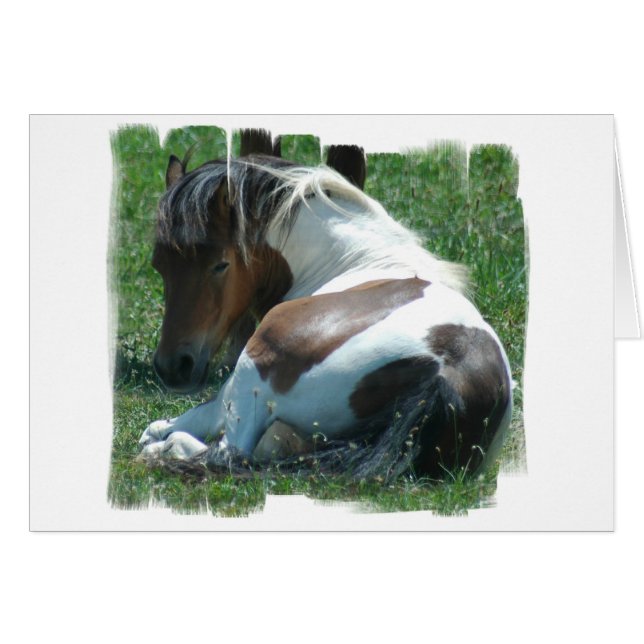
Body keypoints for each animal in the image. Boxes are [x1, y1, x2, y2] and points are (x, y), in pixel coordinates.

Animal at [138, 147, 512, 479]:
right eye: (158, 265)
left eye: (221, 265)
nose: (173, 367)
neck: (357, 257)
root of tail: (446, 372)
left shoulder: (226, 397)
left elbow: (164, 425)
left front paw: (159, 441)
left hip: (252, 368)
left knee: (228, 452)